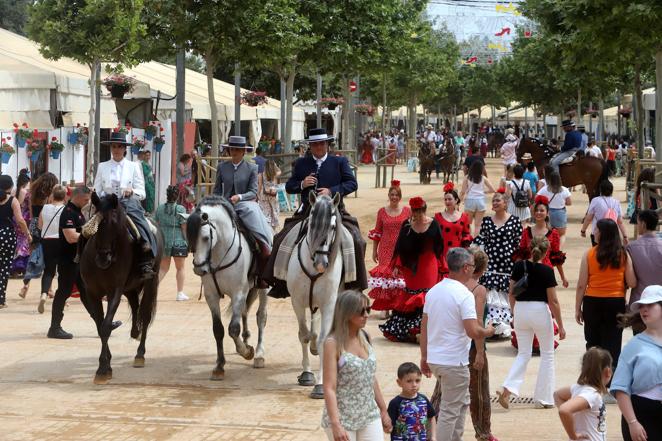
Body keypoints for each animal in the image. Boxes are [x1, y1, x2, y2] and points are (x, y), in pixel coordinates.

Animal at [80, 194, 163, 384]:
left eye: (116, 224)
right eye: (97, 223)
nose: (103, 258)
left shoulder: (115, 292)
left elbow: (105, 326)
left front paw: (103, 369)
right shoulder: (92, 293)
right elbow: (100, 326)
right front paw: (107, 363)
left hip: (150, 282)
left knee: (145, 314)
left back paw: (140, 354)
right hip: (130, 287)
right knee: (134, 305)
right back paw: (134, 331)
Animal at [185, 195, 268, 378]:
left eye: (205, 238)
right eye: (189, 236)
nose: (199, 269)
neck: (218, 253)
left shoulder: (238, 293)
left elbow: (233, 329)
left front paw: (247, 352)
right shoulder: (212, 296)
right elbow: (218, 330)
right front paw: (219, 366)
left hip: (263, 288)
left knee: (261, 317)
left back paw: (259, 354)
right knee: (245, 311)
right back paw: (246, 339)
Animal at [288, 192, 344, 398]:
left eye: (333, 226)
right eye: (311, 223)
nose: (321, 263)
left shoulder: (329, 303)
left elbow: (322, 340)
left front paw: (320, 384)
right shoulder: (297, 301)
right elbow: (303, 335)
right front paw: (306, 374)